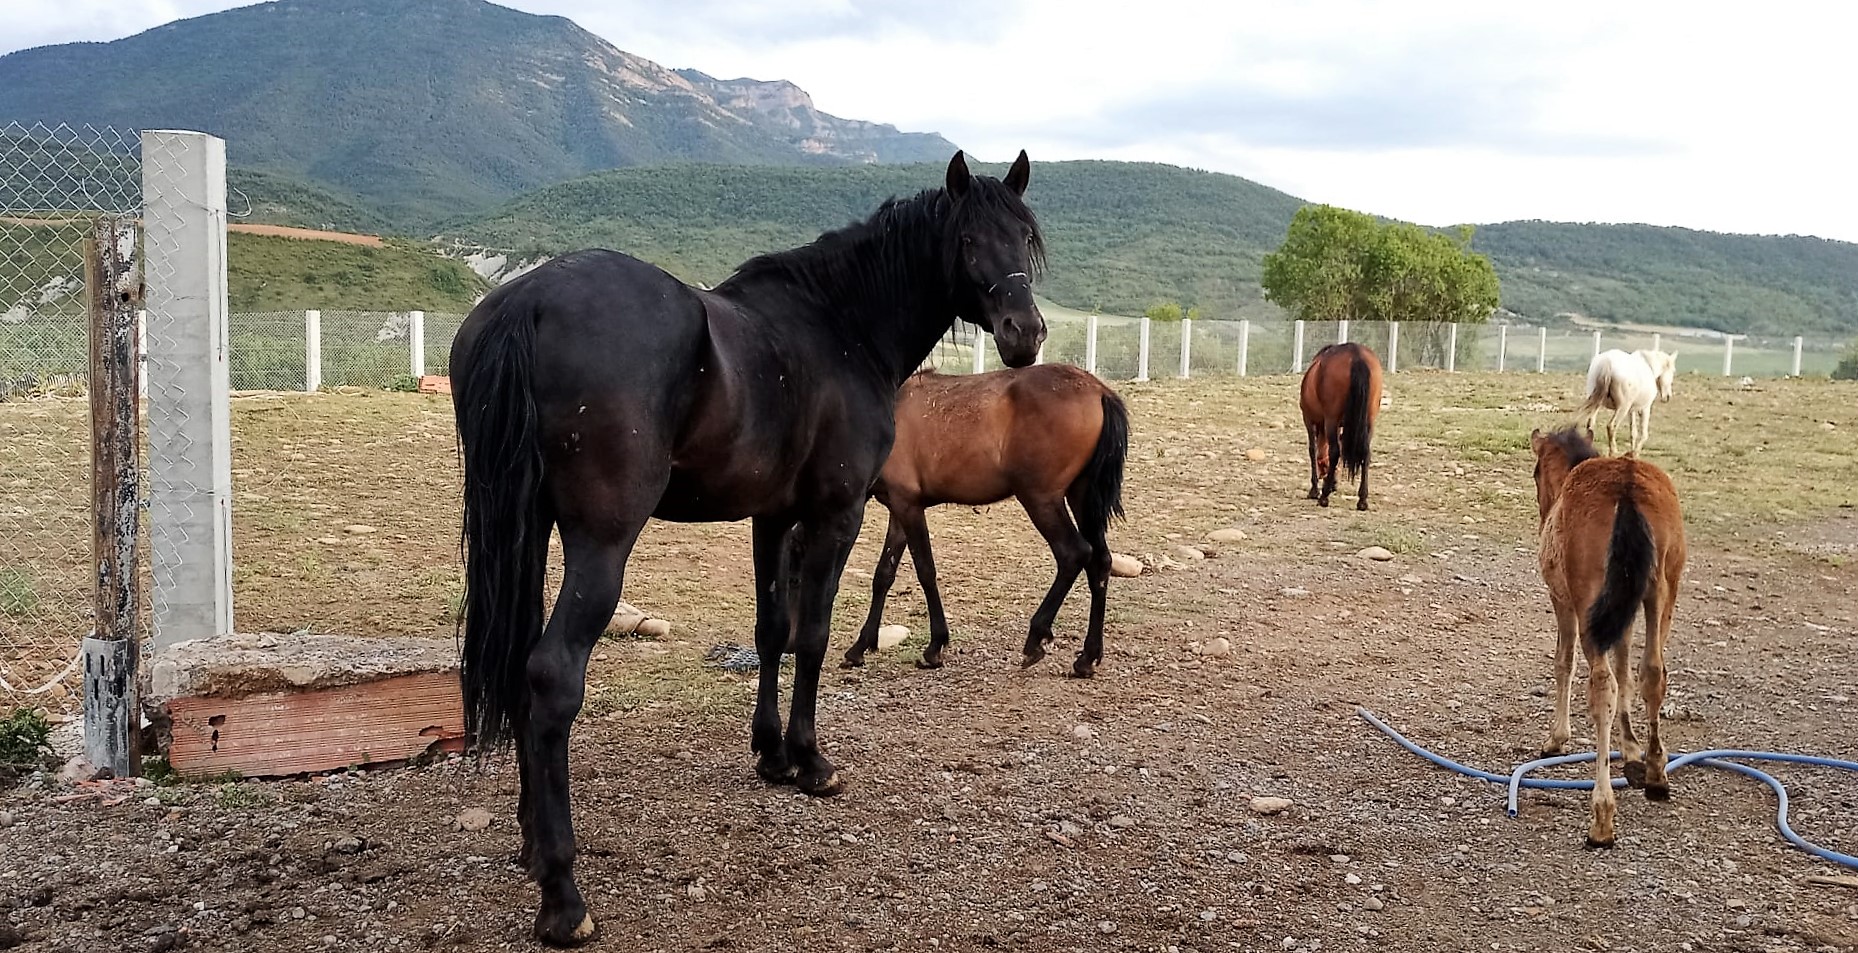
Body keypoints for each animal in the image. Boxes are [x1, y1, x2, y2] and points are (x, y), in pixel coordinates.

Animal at [448, 150, 1048, 946]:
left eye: (1025, 237)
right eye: (971, 239)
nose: (1026, 333)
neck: (839, 324)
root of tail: (531, 299)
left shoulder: (771, 519)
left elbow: (771, 630)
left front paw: (770, 753)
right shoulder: (835, 515)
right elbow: (813, 634)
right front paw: (811, 761)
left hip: (526, 531)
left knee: (520, 667)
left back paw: (528, 840)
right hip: (600, 545)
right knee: (550, 677)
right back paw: (563, 895)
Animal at [838, 363, 1129, 677]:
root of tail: (1098, 390)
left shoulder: (908, 506)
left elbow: (925, 571)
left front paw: (935, 646)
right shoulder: (899, 508)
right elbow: (884, 575)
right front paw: (860, 647)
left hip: (1041, 499)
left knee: (1074, 554)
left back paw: (1036, 638)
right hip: (1082, 496)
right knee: (1100, 562)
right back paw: (1088, 657)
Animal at [1299, 342, 1383, 510]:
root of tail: (1356, 355)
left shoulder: (1309, 420)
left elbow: (1313, 450)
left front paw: (1315, 489)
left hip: (1331, 419)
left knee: (1334, 452)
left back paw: (1324, 497)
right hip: (1369, 420)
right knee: (1366, 453)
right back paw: (1362, 499)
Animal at [1530, 426, 1686, 848]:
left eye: (1536, 473)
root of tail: (1627, 487)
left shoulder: (1564, 603)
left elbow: (1564, 663)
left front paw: (1557, 737)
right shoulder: (1622, 609)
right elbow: (1626, 668)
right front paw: (1631, 752)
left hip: (1589, 607)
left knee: (1601, 686)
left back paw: (1601, 816)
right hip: (1661, 591)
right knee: (1653, 672)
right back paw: (1656, 774)